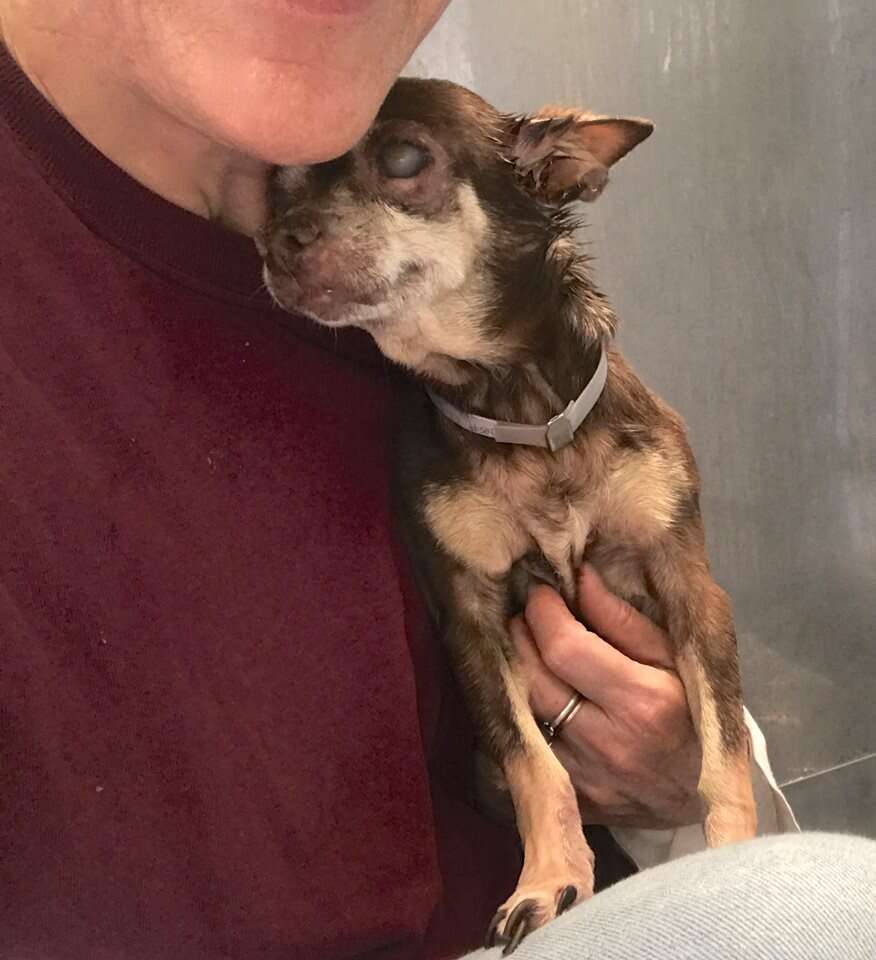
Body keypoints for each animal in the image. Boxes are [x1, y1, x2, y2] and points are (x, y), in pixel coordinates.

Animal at [256, 79, 756, 948]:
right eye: (275, 187)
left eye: (403, 158)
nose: (276, 239)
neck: (519, 411)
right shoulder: (471, 617)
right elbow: (532, 760)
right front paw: (551, 878)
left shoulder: (688, 585)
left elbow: (720, 742)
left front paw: (735, 851)